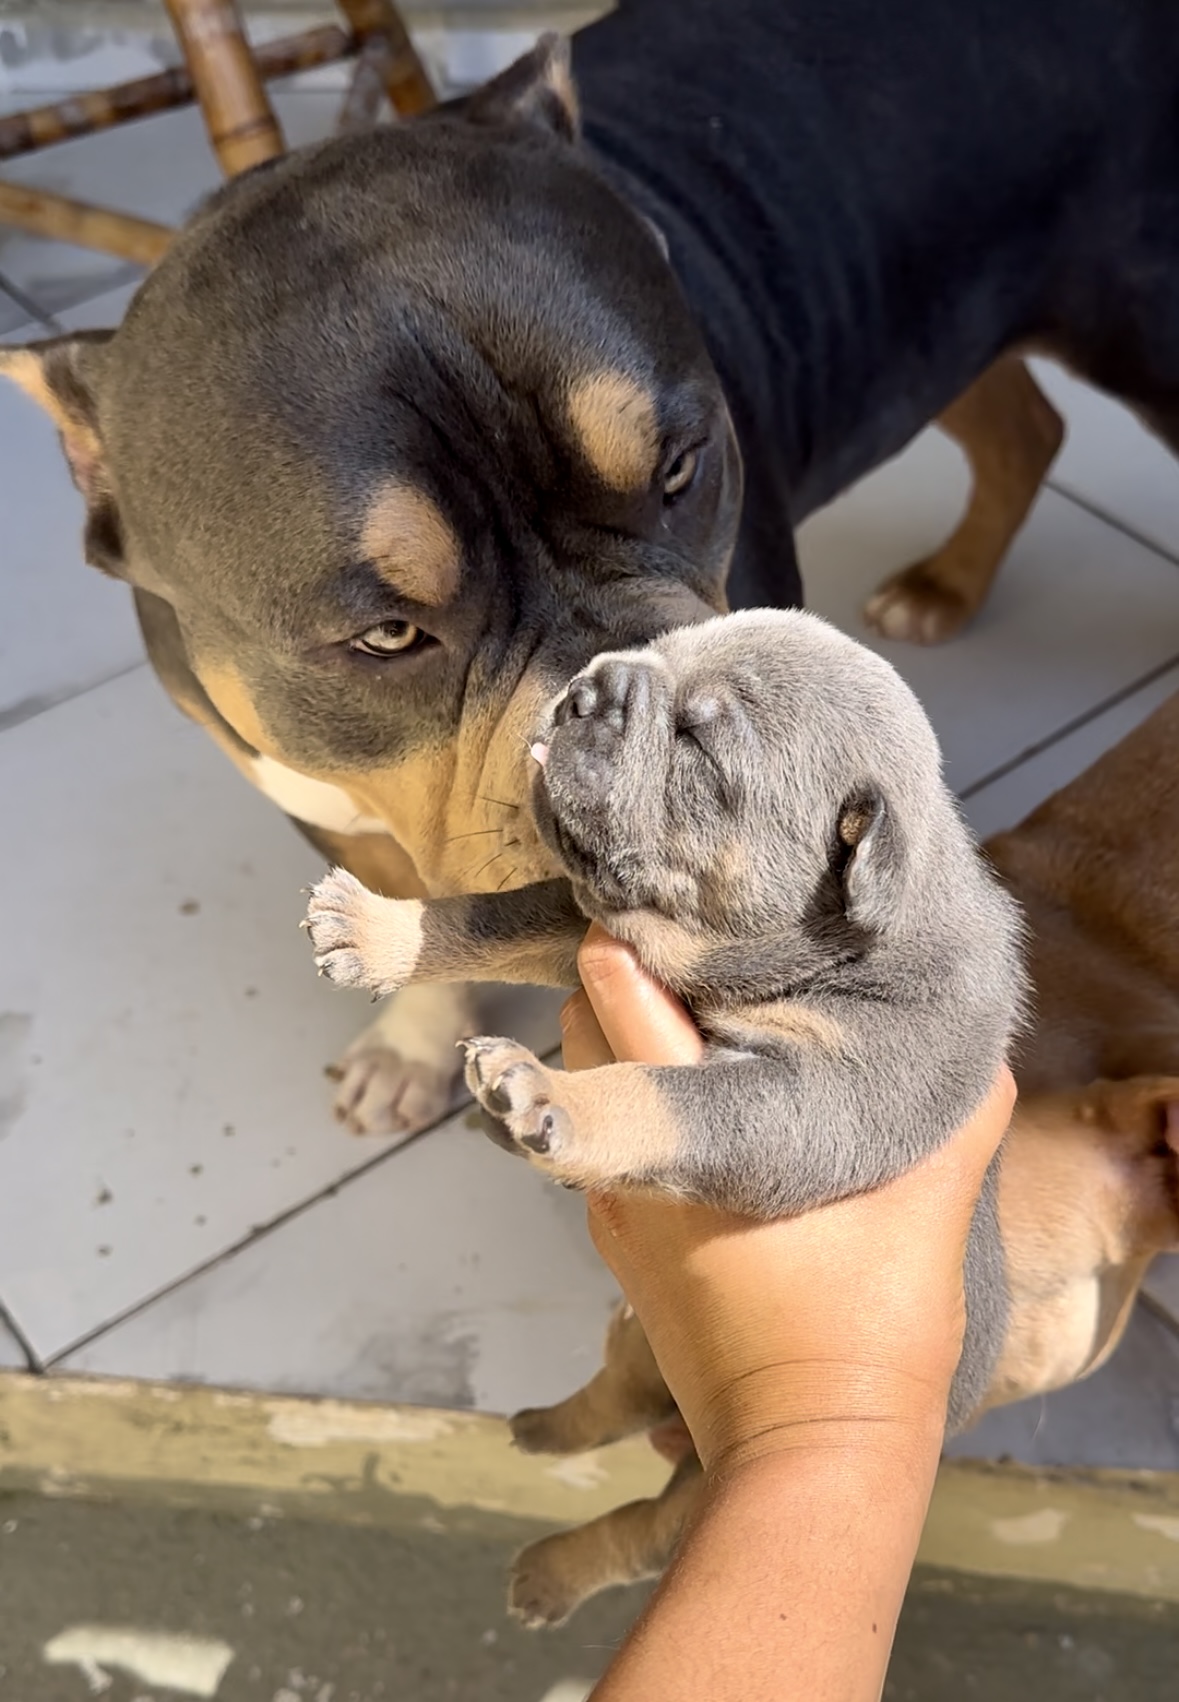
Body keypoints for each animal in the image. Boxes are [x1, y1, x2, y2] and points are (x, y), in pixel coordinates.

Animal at [6, 3, 1177, 1143]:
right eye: (386, 636)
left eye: (681, 468)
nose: (618, 712)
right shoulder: (318, 793)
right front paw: (413, 1037)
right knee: (1022, 425)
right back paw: (948, 584)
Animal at [301, 612, 1020, 1606]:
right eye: (653, 651)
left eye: (695, 744)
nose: (589, 688)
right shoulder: (580, 921)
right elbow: (487, 916)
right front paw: (378, 930)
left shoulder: (817, 1096)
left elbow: (665, 1093)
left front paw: (550, 1094)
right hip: (631, 1344)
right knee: (610, 1403)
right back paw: (539, 1428)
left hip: (688, 1480)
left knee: (645, 1532)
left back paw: (549, 1574)